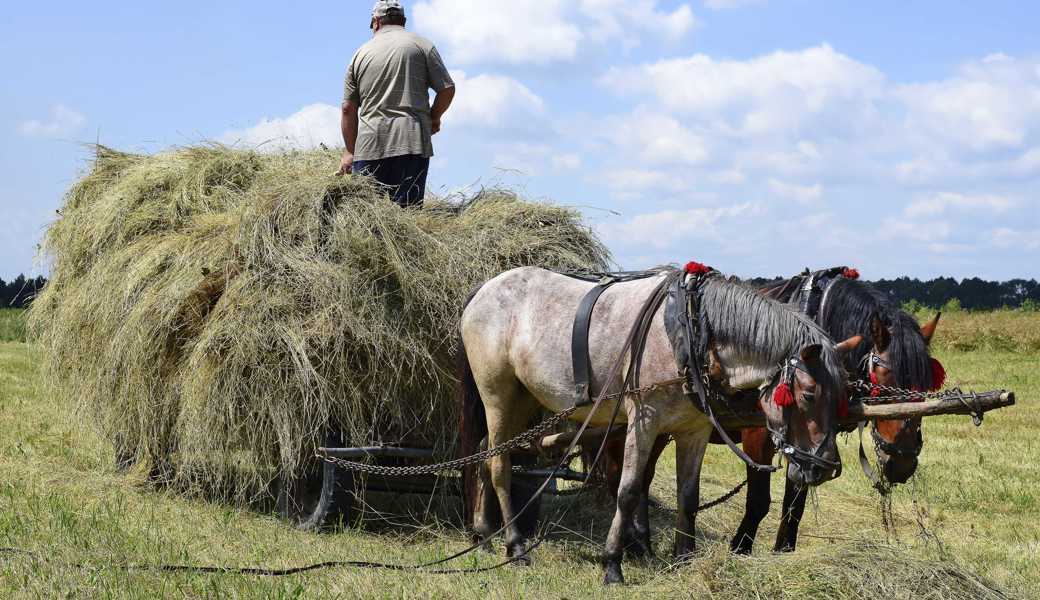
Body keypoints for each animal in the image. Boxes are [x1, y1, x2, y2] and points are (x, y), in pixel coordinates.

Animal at [459, 266, 856, 586]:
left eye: (841, 393)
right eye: (808, 394)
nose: (825, 467)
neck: (690, 334)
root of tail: (483, 289)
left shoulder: (694, 431)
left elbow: (689, 496)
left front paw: (684, 559)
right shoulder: (643, 422)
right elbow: (629, 490)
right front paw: (612, 564)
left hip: (525, 397)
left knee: (483, 452)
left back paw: (483, 535)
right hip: (497, 394)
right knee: (499, 465)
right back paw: (516, 546)